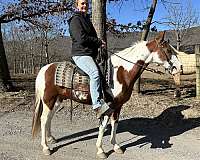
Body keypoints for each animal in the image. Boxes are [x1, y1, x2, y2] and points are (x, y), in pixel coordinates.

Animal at [31, 31, 183, 159]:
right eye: (168, 50)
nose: (179, 67)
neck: (120, 72)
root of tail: (45, 68)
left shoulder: (118, 105)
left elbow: (115, 124)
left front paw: (116, 146)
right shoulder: (108, 105)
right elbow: (103, 126)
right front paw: (101, 150)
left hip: (57, 100)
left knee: (49, 118)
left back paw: (51, 138)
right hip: (48, 100)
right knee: (44, 119)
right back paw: (46, 147)